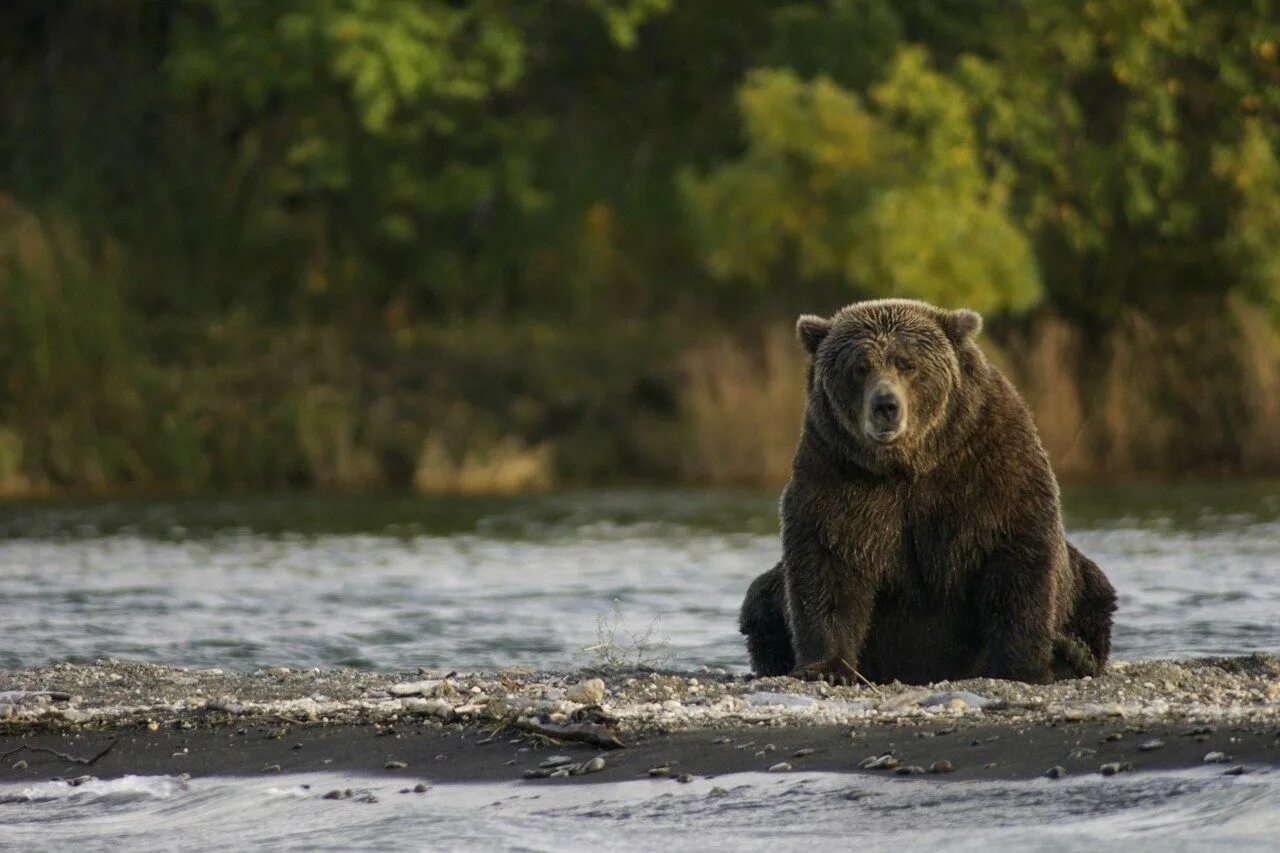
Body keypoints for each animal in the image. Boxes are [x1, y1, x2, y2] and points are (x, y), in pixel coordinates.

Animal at [737, 298, 1116, 686]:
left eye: (907, 363)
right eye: (859, 366)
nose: (886, 406)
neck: (910, 463)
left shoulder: (991, 464)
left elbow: (1017, 560)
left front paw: (1024, 666)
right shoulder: (837, 472)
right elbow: (828, 563)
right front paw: (827, 668)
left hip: (1084, 587)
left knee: (1094, 590)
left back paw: (1070, 655)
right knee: (760, 600)